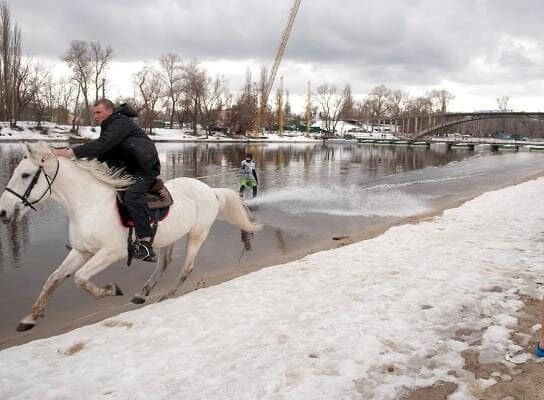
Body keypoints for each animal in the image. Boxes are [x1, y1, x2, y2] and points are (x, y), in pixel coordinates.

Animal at [0, 143, 262, 332]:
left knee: (185, 268)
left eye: (25, 175)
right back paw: (142, 293)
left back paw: (166, 295)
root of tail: (211, 191)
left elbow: (80, 278)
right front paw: (30, 318)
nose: (3, 212)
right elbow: (54, 279)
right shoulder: (81, 251)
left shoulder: (111, 252)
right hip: (167, 238)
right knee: (163, 264)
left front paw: (110, 290)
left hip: (197, 234)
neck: (89, 205)